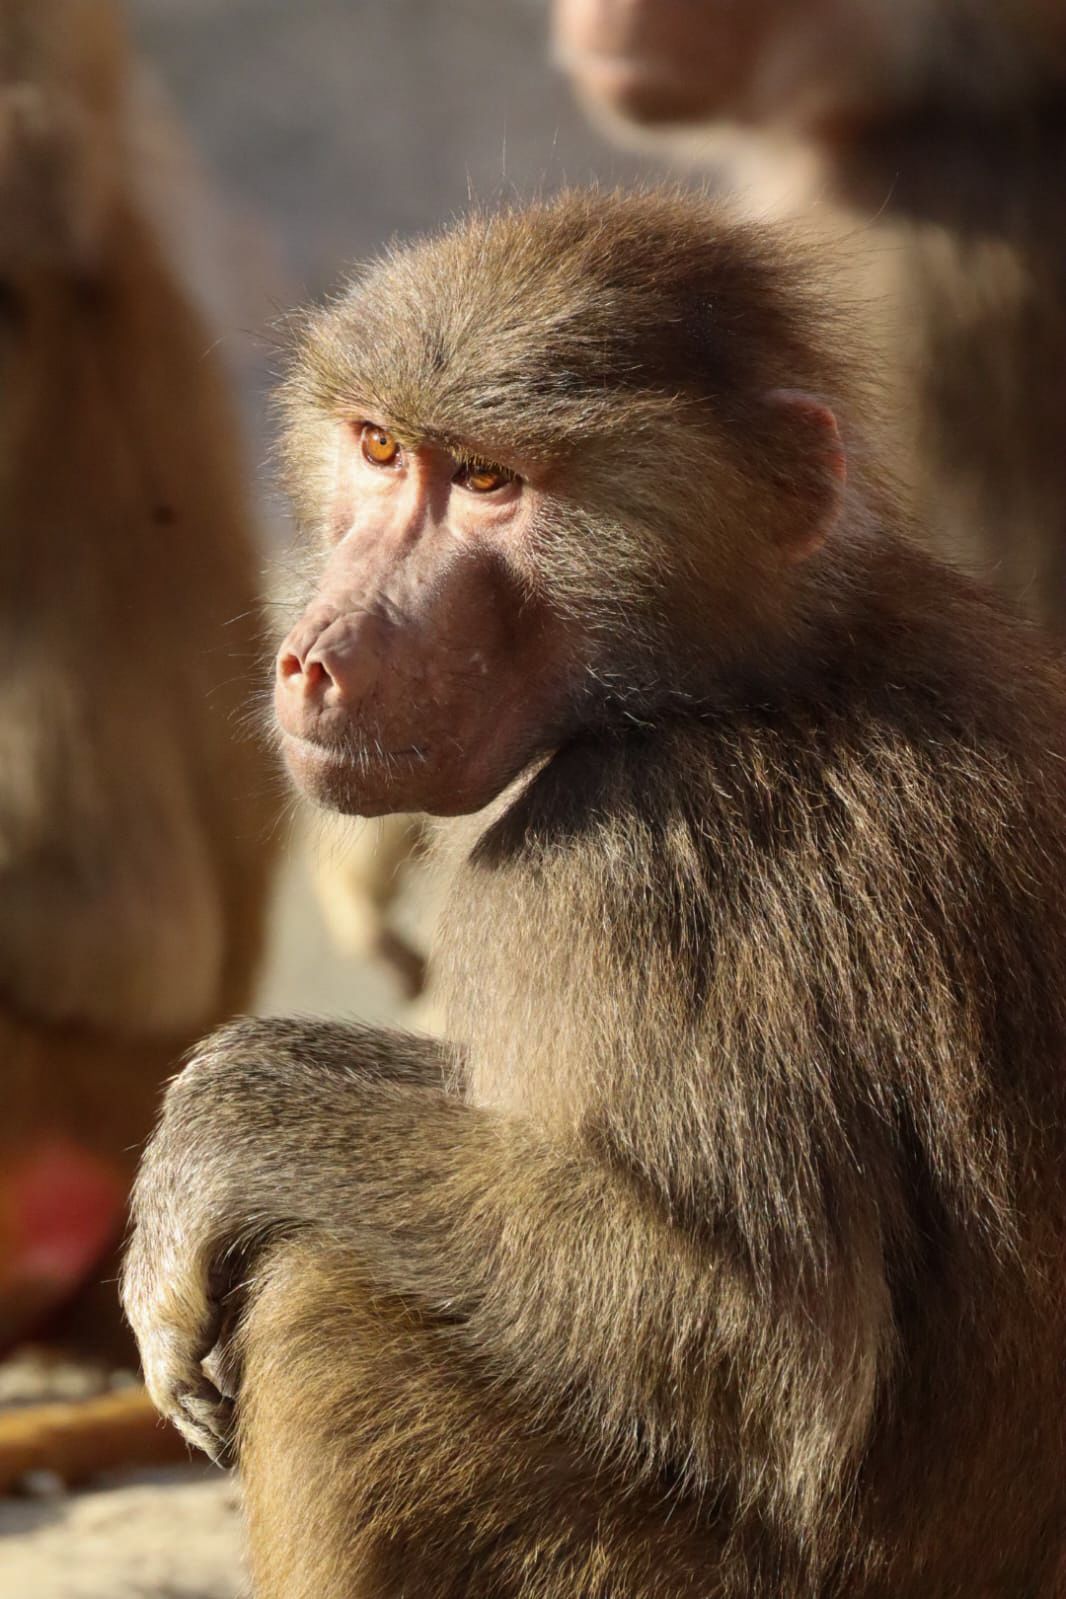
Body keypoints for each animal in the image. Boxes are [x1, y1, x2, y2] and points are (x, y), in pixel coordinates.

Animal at [123, 189, 1066, 1597]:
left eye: (491, 485)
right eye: (380, 449)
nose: (313, 658)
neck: (736, 677)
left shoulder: (620, 870)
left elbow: (751, 1342)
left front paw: (216, 1145)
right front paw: (223, 1097)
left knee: (329, 1323)